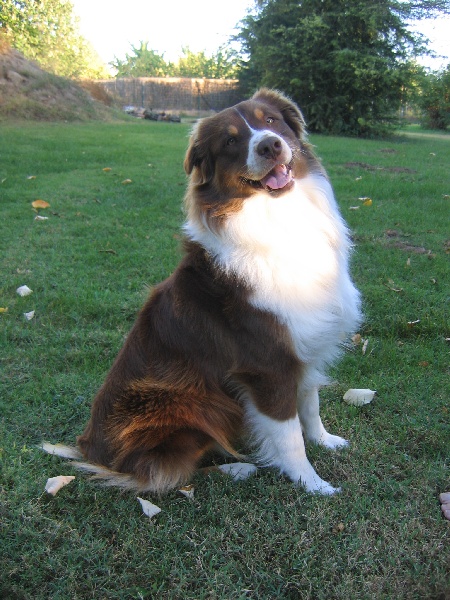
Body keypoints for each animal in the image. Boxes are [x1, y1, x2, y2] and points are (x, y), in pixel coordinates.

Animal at [43, 88, 361, 495]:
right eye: (230, 142)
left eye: (271, 120)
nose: (270, 145)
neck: (278, 215)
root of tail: (90, 450)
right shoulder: (268, 364)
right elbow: (289, 435)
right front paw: (311, 483)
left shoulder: (305, 343)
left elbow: (310, 402)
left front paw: (325, 440)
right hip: (196, 405)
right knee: (166, 474)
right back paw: (238, 469)